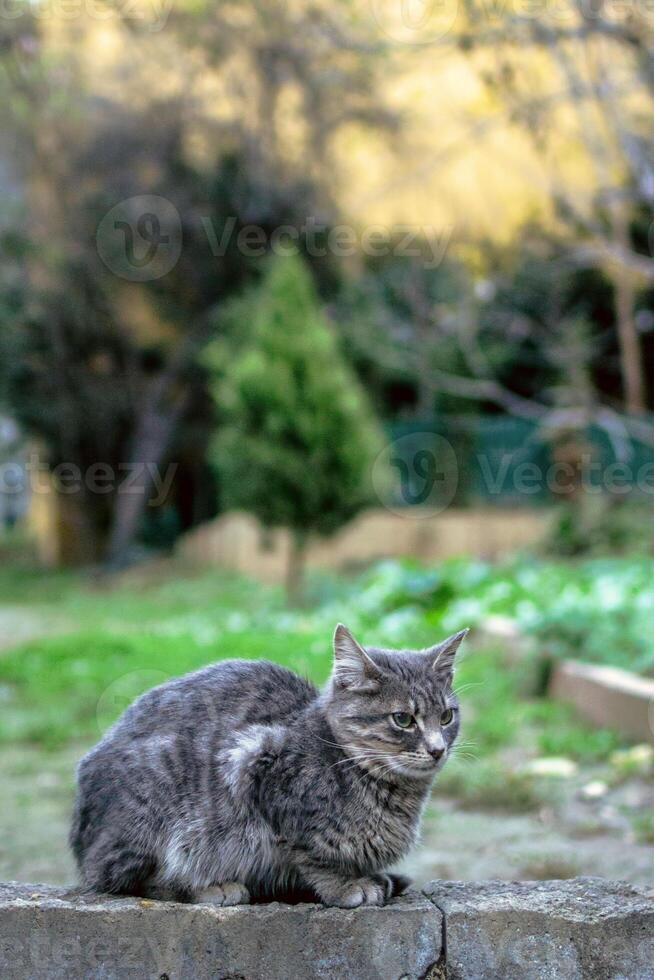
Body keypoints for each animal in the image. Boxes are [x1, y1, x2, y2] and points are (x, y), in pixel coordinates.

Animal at [72, 624, 468, 908]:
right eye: (403, 719)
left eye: (446, 716)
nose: (437, 749)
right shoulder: (253, 764)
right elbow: (311, 853)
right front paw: (345, 886)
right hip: (154, 809)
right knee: (119, 878)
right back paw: (209, 888)